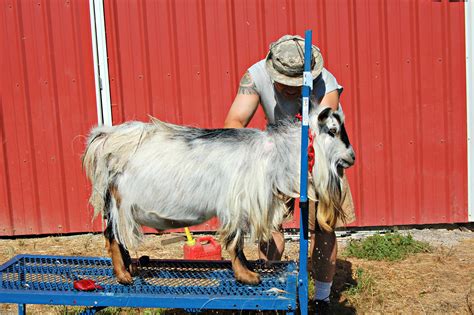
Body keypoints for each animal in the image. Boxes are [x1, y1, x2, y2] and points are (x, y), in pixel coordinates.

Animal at [83, 107, 354, 286]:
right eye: (332, 130)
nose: (352, 156)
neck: (276, 155)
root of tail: (106, 141)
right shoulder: (235, 206)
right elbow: (236, 243)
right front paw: (248, 276)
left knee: (116, 237)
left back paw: (128, 268)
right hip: (120, 203)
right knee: (112, 236)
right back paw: (123, 275)